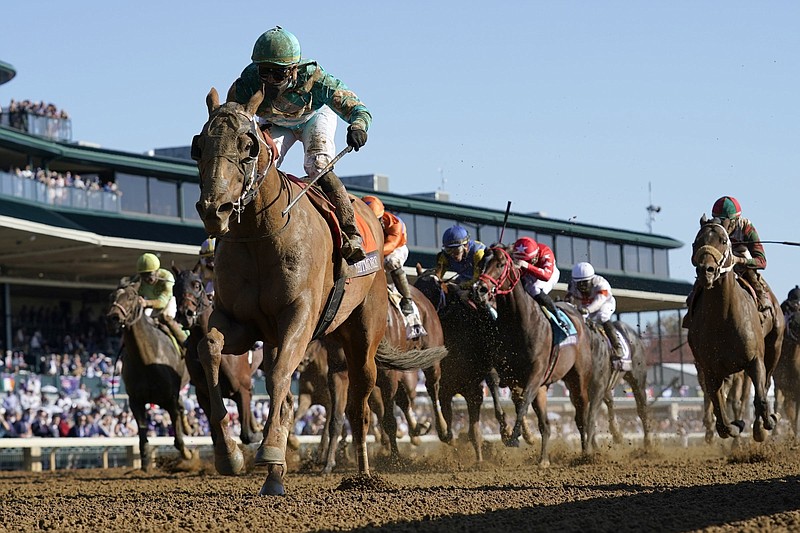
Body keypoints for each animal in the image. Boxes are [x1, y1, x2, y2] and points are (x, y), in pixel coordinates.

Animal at [104, 278, 192, 470]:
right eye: (111, 296)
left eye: (131, 297)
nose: (113, 317)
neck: (146, 360)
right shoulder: (136, 401)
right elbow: (143, 432)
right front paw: (145, 464)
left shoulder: (170, 399)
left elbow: (177, 436)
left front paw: (188, 454)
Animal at [173, 266, 264, 444]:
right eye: (175, 289)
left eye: (197, 285)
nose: (185, 314)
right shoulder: (203, 395)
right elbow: (217, 437)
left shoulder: (242, 389)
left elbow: (246, 435)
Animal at [194, 88, 444, 494]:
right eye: (198, 145)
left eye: (248, 145)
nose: (214, 209)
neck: (262, 232)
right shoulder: (239, 321)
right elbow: (209, 348)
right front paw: (230, 454)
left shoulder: (300, 315)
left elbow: (281, 375)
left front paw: (270, 451)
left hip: (363, 337)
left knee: (361, 407)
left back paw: (363, 474)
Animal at [472, 245, 596, 466]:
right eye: (481, 263)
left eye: (501, 264)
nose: (479, 289)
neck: (518, 322)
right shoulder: (507, 372)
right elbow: (500, 390)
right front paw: (507, 432)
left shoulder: (535, 374)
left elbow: (522, 402)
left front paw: (514, 437)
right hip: (545, 388)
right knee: (545, 423)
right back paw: (543, 459)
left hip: (578, 379)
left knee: (581, 415)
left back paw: (584, 455)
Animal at [684, 215, 784, 440]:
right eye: (696, 242)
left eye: (722, 240)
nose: (706, 271)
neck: (722, 317)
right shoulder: (709, 370)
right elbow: (721, 417)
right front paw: (736, 425)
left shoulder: (755, 361)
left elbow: (760, 399)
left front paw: (764, 425)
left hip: (775, 347)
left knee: (765, 384)